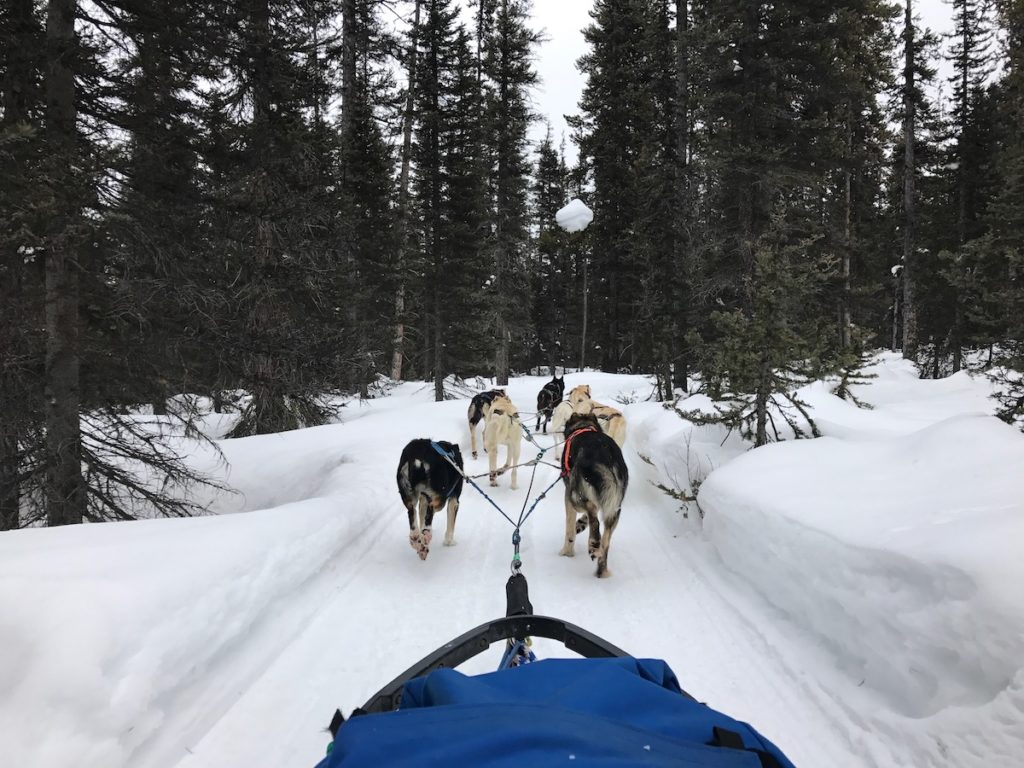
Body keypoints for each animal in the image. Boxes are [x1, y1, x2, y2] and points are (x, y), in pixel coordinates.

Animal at [557, 415, 626, 577]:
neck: (584, 427)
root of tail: (608, 459)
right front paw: (580, 524)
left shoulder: (568, 497)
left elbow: (570, 531)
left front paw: (567, 552)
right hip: (614, 510)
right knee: (605, 542)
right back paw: (601, 570)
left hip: (574, 495)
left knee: (593, 514)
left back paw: (594, 543)